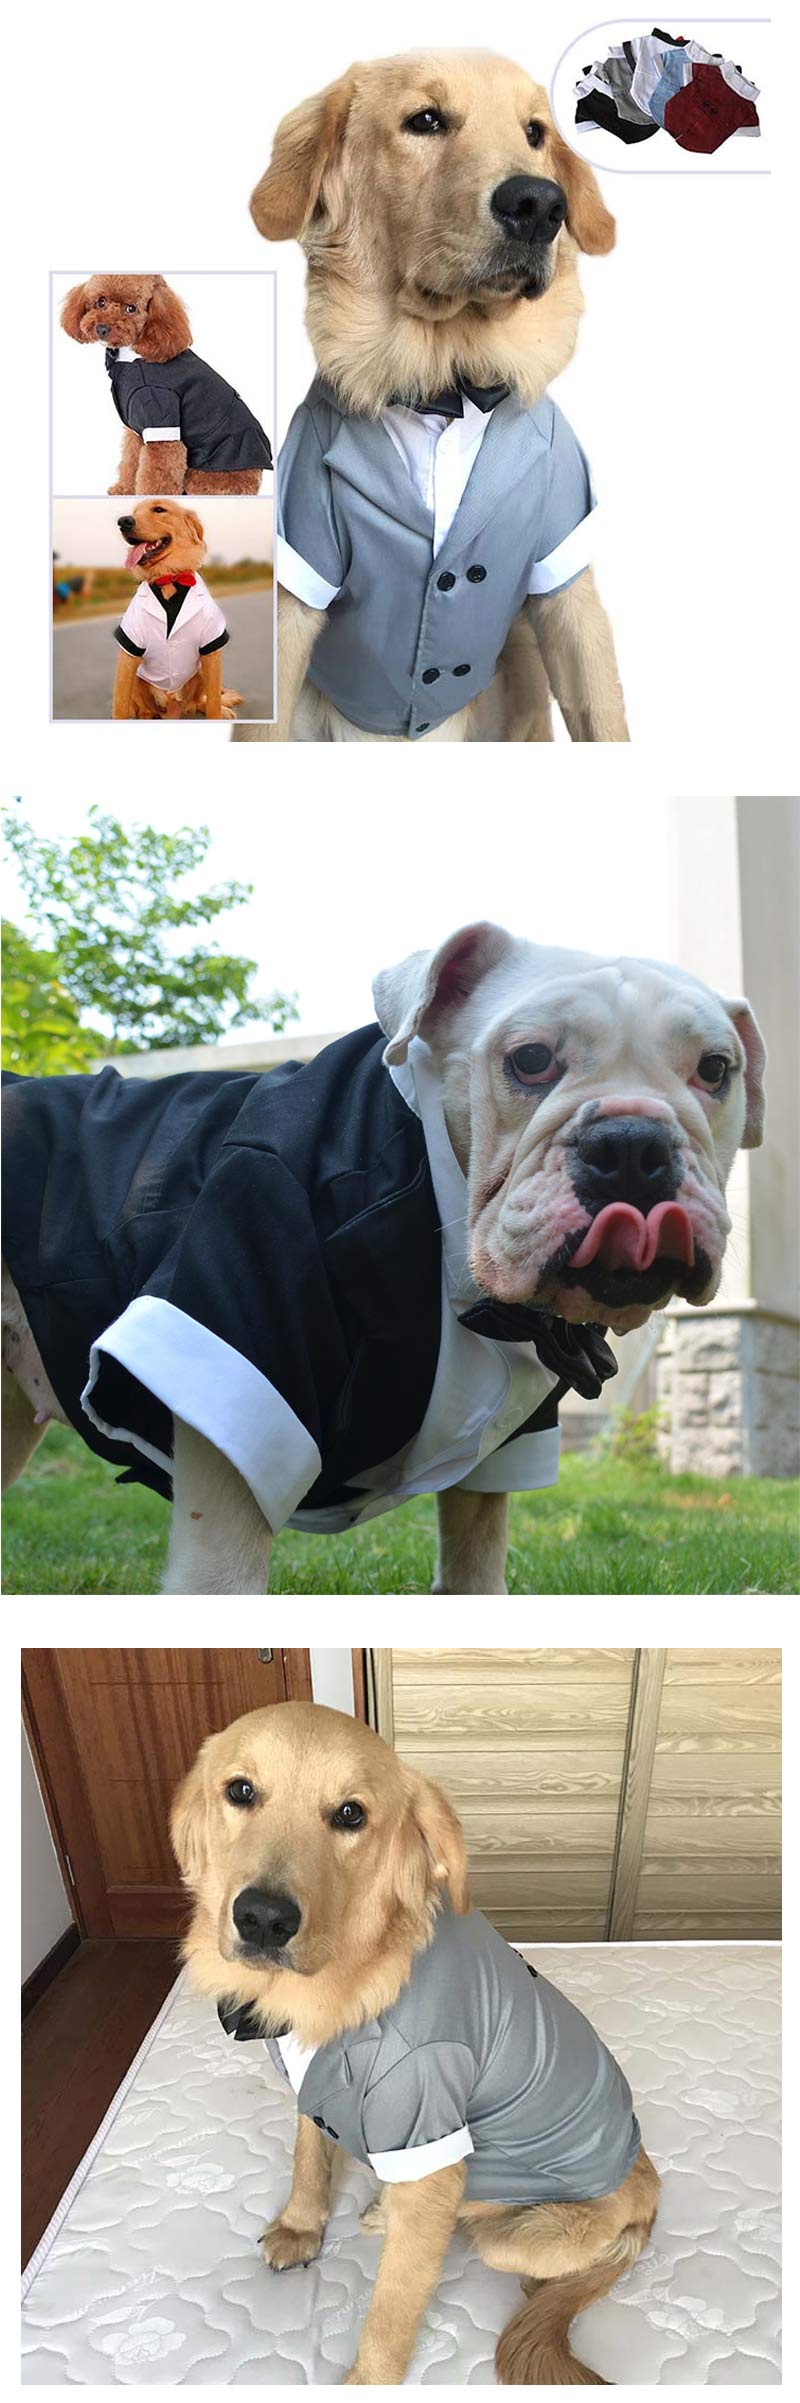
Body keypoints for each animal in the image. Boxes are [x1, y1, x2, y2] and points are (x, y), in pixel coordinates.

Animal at [1, 922, 765, 1595]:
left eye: (716, 1070)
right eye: (529, 1060)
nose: (633, 1144)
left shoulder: (494, 1474)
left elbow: (475, 1568)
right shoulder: (240, 1353)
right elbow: (221, 1575)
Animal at [60, 273, 272, 495]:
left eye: (131, 309)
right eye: (101, 302)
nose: (102, 329)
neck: (133, 358)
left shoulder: (161, 422)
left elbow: (157, 476)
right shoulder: (136, 431)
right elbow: (130, 463)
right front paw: (124, 490)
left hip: (203, 478)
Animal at [112, 501, 240, 719]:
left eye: (159, 509)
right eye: (135, 512)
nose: (124, 521)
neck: (168, 577)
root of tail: (173, 701)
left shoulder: (211, 649)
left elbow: (214, 701)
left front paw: (217, 711)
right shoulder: (128, 653)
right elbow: (119, 705)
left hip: (199, 671)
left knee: (199, 702)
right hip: (140, 679)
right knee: (146, 709)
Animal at [172, 1699, 662, 2385]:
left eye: (350, 1815)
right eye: (240, 1791)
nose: (264, 1918)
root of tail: (648, 2184)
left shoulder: (431, 2138)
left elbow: (393, 2306)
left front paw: (367, 2380)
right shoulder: (312, 2088)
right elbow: (307, 2158)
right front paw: (299, 2226)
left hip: (515, 2239)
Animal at [236, 50, 627, 744]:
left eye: (535, 132)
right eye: (425, 120)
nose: (540, 203)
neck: (451, 383)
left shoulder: (565, 584)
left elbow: (604, 715)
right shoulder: (297, 570)